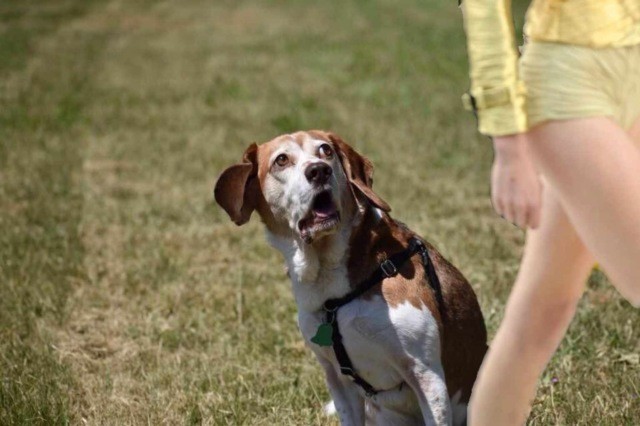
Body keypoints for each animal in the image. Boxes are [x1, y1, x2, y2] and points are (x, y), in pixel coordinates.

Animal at [214, 131, 484, 426]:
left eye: (326, 150)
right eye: (281, 160)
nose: (319, 171)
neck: (330, 286)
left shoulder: (426, 373)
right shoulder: (337, 378)